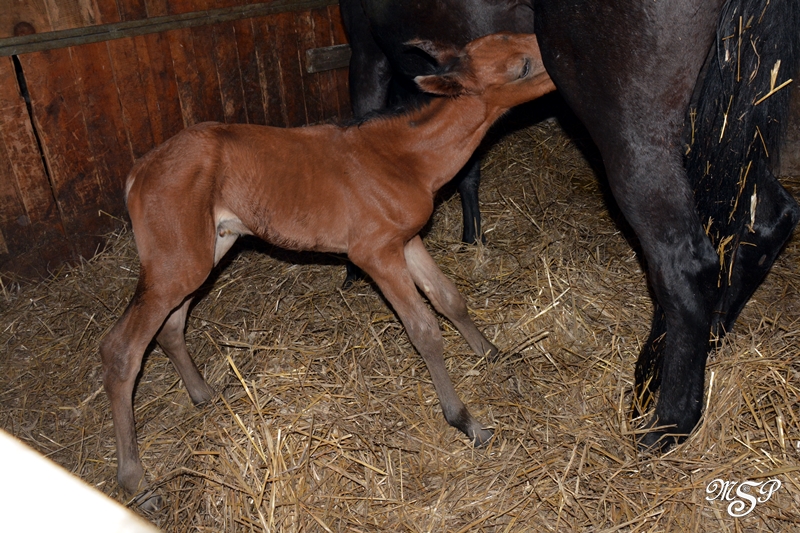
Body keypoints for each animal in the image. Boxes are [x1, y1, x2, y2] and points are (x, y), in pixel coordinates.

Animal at [99, 33, 556, 497]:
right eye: (521, 66)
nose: (559, 64)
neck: (403, 158)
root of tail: (139, 171)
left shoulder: (406, 241)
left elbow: (449, 298)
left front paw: (493, 354)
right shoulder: (375, 254)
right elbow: (425, 331)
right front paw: (466, 421)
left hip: (204, 250)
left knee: (171, 326)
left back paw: (203, 394)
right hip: (178, 262)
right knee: (121, 350)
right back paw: (135, 478)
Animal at [343, 0, 800, 448]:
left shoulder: (366, 47)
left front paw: (351, 267)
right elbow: (464, 163)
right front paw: (473, 238)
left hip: (632, 127)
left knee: (684, 265)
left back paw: (666, 421)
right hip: (727, 105)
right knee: (768, 218)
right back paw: (693, 349)